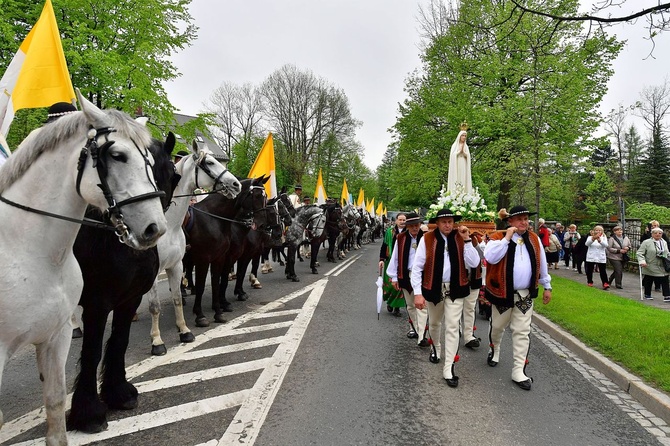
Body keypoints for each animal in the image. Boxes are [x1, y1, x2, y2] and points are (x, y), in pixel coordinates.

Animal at [67, 135, 178, 432]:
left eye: (172, 173)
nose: (151, 229)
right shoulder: (97, 304)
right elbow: (92, 351)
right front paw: (88, 412)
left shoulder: (130, 299)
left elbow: (119, 341)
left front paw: (118, 393)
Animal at [146, 139, 243, 356]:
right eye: (210, 162)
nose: (236, 185)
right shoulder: (156, 272)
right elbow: (155, 306)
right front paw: (157, 341)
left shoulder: (177, 265)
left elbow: (176, 299)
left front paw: (184, 331)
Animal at [186, 176, 270, 326]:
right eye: (257, 195)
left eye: (265, 196)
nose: (262, 224)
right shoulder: (206, 259)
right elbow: (209, 283)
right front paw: (201, 314)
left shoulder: (223, 258)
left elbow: (220, 281)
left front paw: (220, 308)